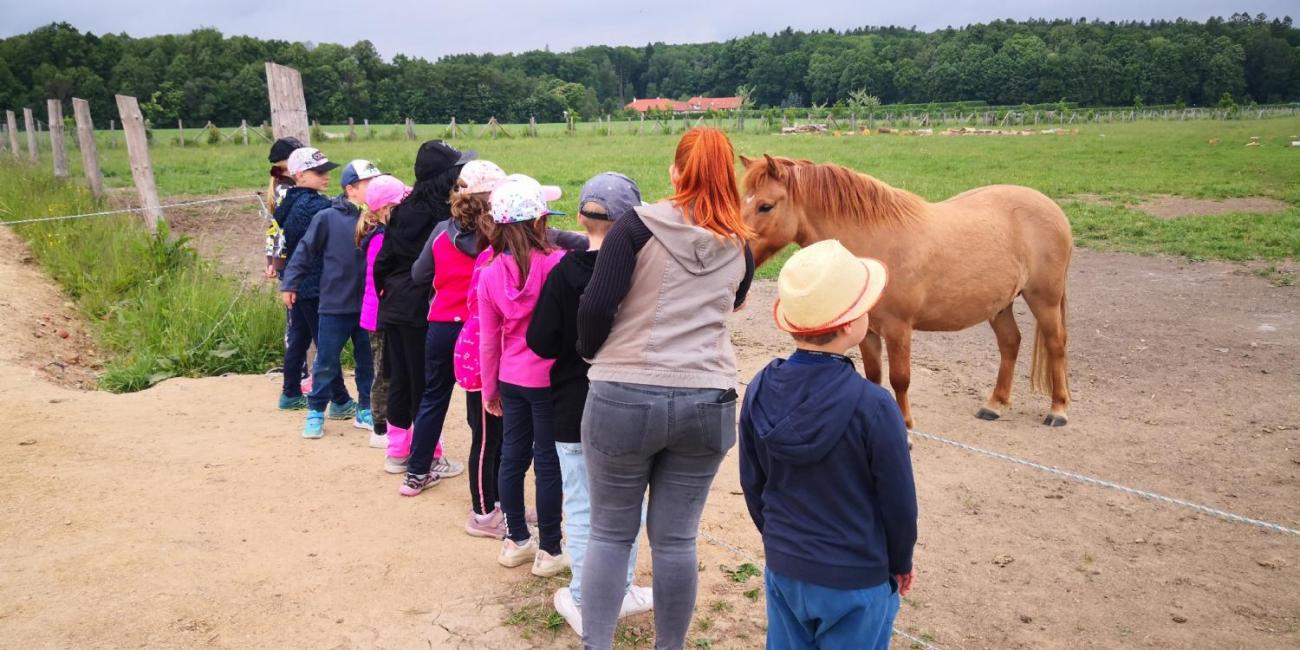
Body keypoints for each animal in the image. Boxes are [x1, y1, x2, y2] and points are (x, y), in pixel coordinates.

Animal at [738, 154, 1071, 428]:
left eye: (765, 205)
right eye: (742, 202)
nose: (740, 253)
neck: (875, 245)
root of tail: (1051, 207)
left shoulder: (898, 329)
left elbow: (900, 379)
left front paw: (906, 424)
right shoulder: (869, 331)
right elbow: (874, 375)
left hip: (1044, 299)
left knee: (1056, 343)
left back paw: (1058, 409)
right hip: (1000, 305)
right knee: (1010, 343)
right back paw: (995, 405)